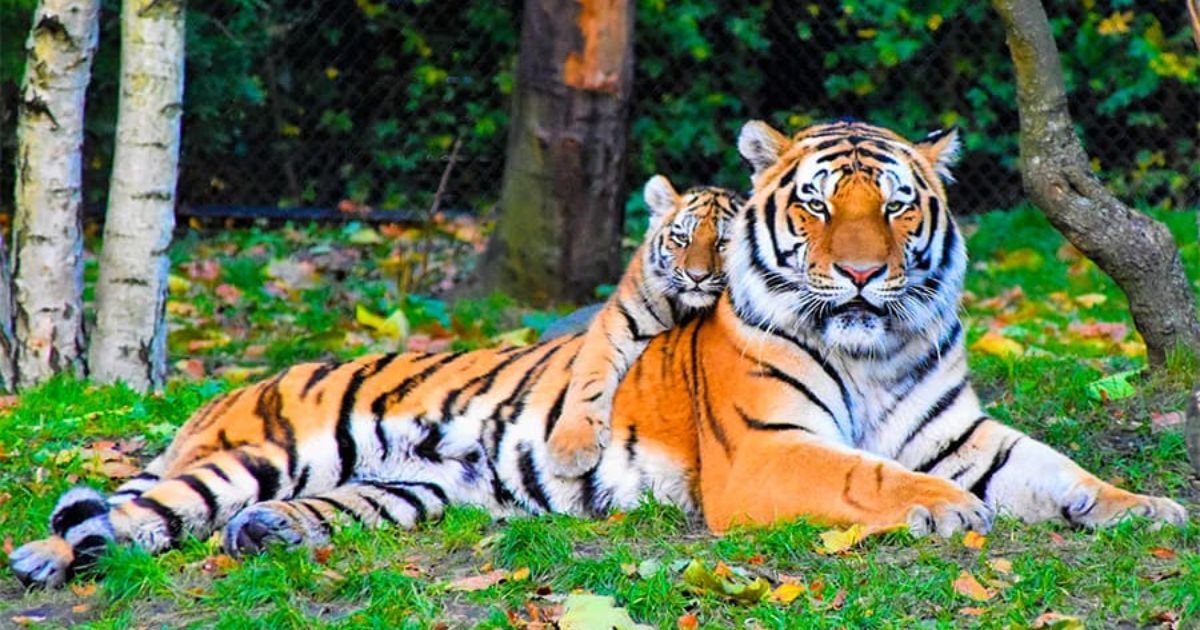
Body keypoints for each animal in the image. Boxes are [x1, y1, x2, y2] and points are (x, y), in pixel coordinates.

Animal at [545, 175, 740, 477]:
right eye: (682, 239)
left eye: (723, 243)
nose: (697, 277)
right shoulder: (614, 325)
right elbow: (589, 380)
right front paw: (571, 449)